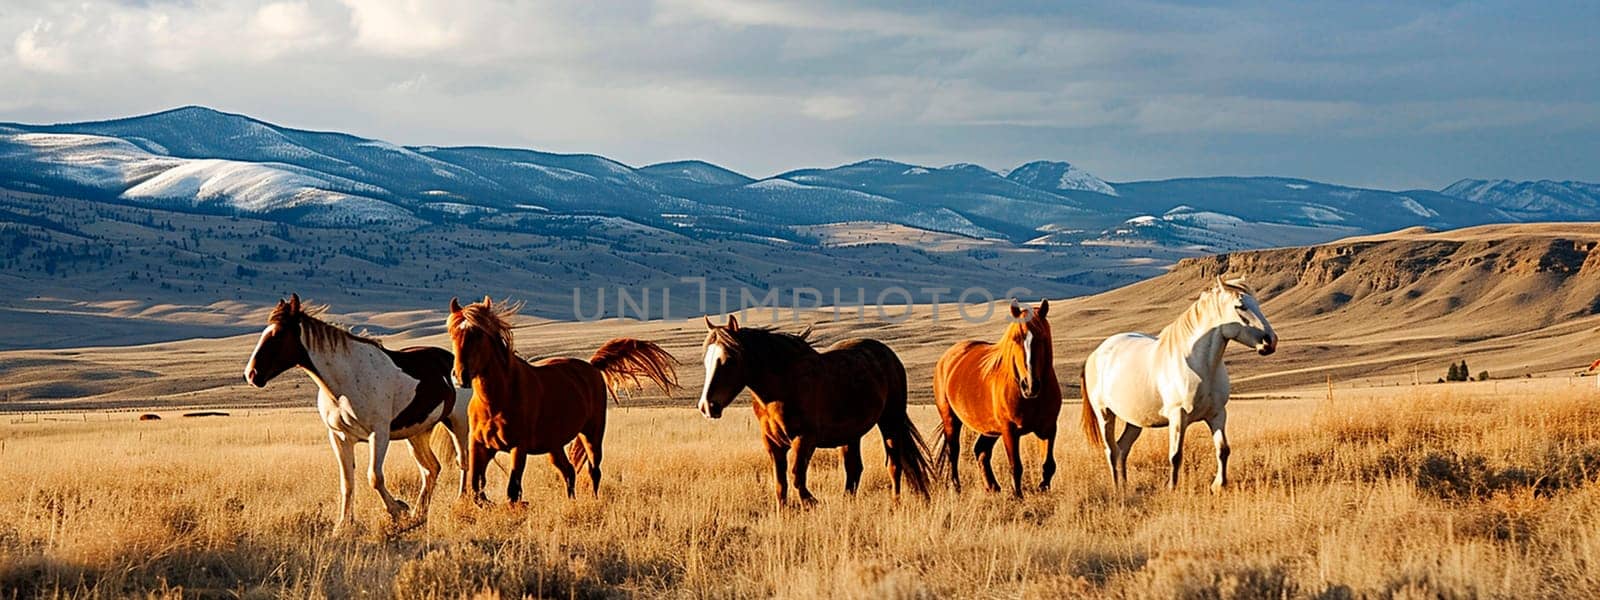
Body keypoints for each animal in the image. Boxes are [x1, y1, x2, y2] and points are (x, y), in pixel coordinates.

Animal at [241, 294, 467, 534]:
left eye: (277, 335)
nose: (251, 374)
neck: (347, 381)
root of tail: (452, 360)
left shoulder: (379, 435)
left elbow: (374, 477)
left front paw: (398, 511)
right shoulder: (340, 437)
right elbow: (347, 482)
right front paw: (343, 525)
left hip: (458, 424)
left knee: (463, 462)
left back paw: (462, 504)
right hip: (417, 433)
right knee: (431, 469)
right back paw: (419, 515)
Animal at [448, 299, 678, 505]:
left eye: (478, 334)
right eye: (452, 333)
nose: (460, 376)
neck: (496, 401)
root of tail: (592, 367)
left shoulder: (518, 448)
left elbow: (512, 491)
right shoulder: (479, 446)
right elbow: (477, 490)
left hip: (592, 435)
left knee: (593, 471)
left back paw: (593, 501)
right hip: (554, 445)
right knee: (568, 471)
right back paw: (571, 501)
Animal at [694, 315, 934, 508]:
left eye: (729, 360)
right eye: (705, 360)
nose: (707, 406)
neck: (783, 386)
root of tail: (890, 356)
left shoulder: (805, 439)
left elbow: (796, 476)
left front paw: (811, 502)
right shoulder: (772, 443)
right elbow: (780, 484)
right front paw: (784, 514)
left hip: (890, 421)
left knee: (894, 465)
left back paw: (896, 504)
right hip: (851, 434)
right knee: (854, 469)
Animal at [934, 299, 1056, 499]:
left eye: (1042, 338)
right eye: (1015, 339)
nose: (1030, 386)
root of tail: (947, 358)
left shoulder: (1049, 428)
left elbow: (1049, 465)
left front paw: (1042, 488)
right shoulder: (1009, 430)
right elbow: (1016, 466)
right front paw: (1018, 496)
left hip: (988, 427)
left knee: (981, 450)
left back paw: (992, 486)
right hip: (951, 418)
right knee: (954, 452)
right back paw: (957, 488)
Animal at [1081, 278, 1280, 492]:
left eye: (1257, 304)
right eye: (1240, 306)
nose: (1270, 341)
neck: (1198, 365)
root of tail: (1096, 354)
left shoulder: (1217, 413)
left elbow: (1223, 449)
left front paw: (1219, 485)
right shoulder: (1178, 416)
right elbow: (1175, 455)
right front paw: (1172, 488)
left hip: (1134, 420)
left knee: (1122, 448)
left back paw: (1125, 485)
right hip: (1105, 414)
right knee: (1111, 450)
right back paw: (1117, 488)